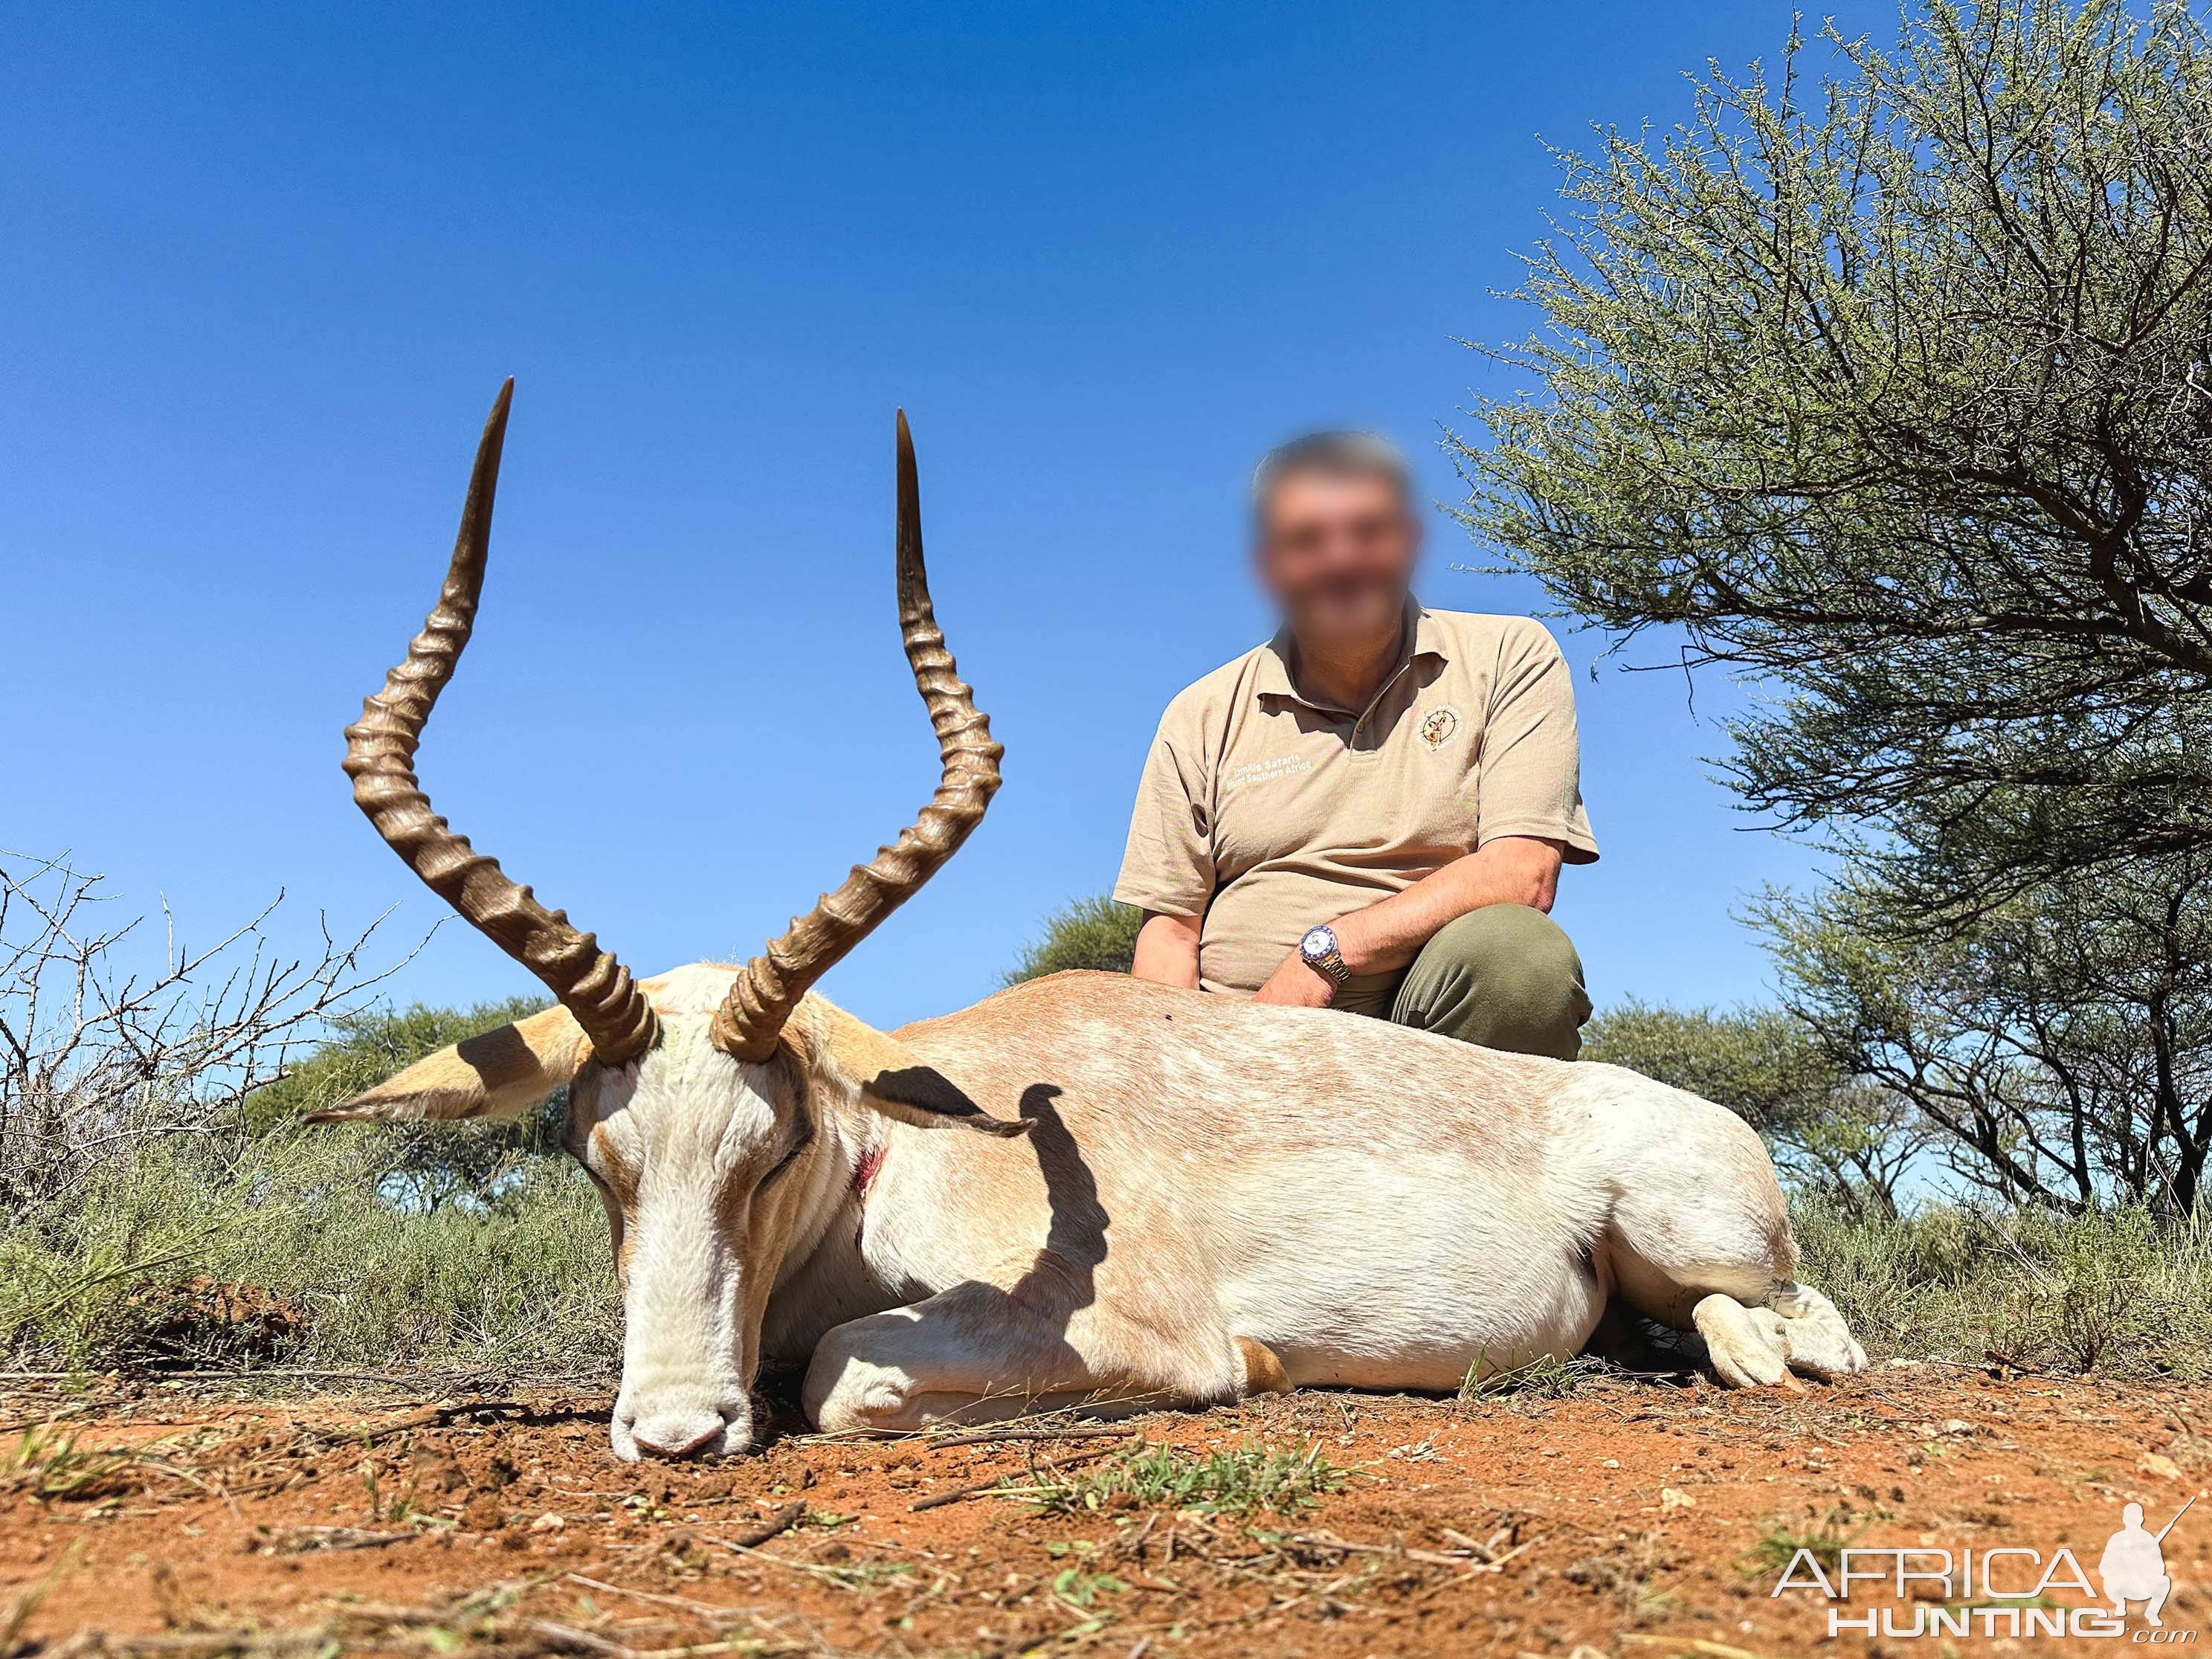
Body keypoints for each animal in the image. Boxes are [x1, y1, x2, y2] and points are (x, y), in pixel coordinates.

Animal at [316, 382, 1866, 1460]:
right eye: (598, 1156)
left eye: (778, 1147)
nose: (678, 1430)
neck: (898, 1147)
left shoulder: (1116, 1329)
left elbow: (836, 1374)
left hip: (1688, 1231)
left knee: (1802, 1321)